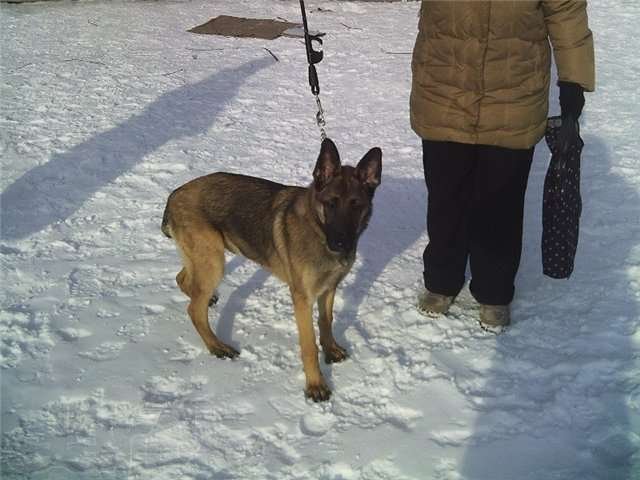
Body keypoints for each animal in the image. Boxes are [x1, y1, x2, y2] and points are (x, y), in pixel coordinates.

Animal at [161, 139, 380, 402]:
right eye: (331, 204)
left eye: (356, 206)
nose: (341, 243)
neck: (318, 228)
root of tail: (175, 194)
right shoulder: (303, 299)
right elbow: (309, 345)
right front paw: (315, 384)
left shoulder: (329, 288)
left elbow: (326, 320)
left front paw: (331, 349)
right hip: (213, 261)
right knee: (194, 308)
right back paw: (216, 346)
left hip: (203, 259)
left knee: (184, 280)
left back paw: (208, 301)